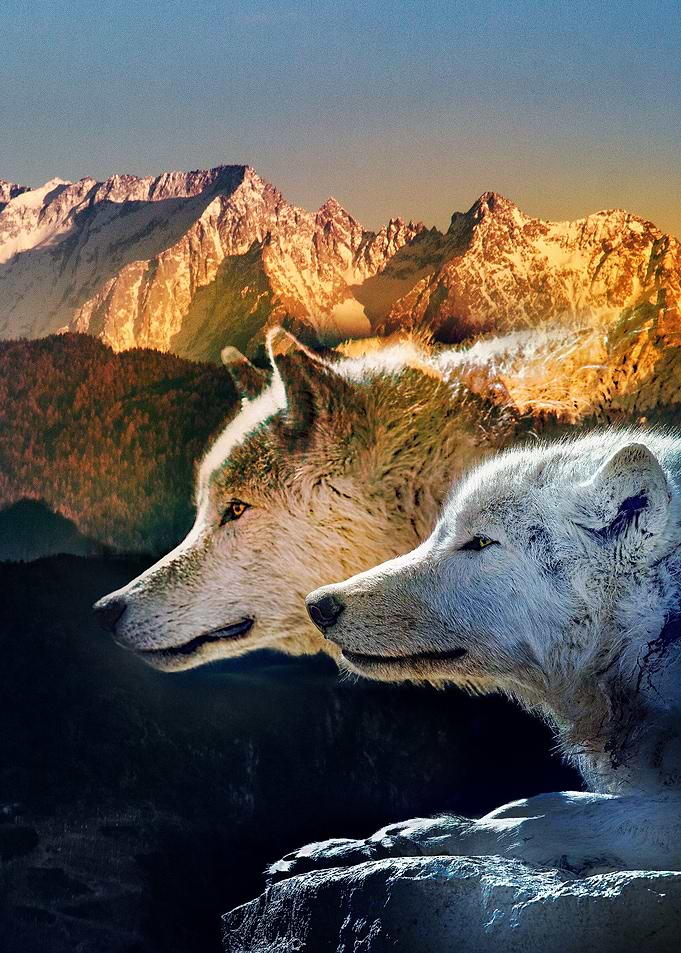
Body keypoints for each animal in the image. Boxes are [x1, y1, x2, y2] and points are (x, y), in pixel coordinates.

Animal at [271, 430, 681, 879]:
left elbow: (543, 823)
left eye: (481, 541)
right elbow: (540, 802)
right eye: (439, 533)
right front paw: (348, 845)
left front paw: (423, 835)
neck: (655, 630)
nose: (318, 605)